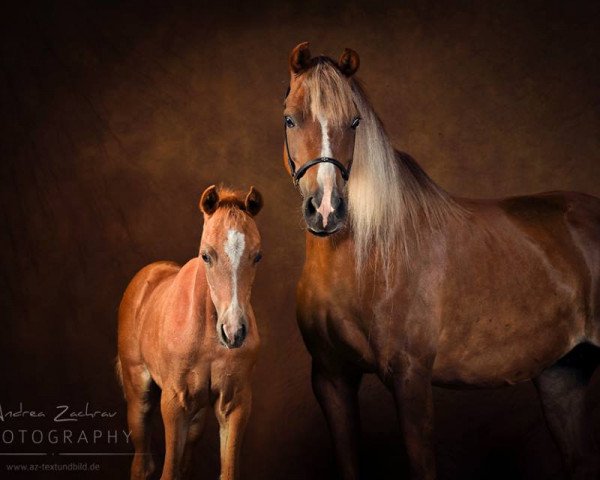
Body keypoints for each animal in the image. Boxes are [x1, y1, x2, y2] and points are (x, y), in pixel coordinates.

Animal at [117, 187, 262, 480]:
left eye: (257, 255)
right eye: (206, 255)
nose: (234, 332)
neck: (209, 336)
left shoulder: (235, 402)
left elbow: (226, 471)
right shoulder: (174, 402)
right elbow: (168, 472)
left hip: (197, 414)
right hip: (138, 393)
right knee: (142, 465)